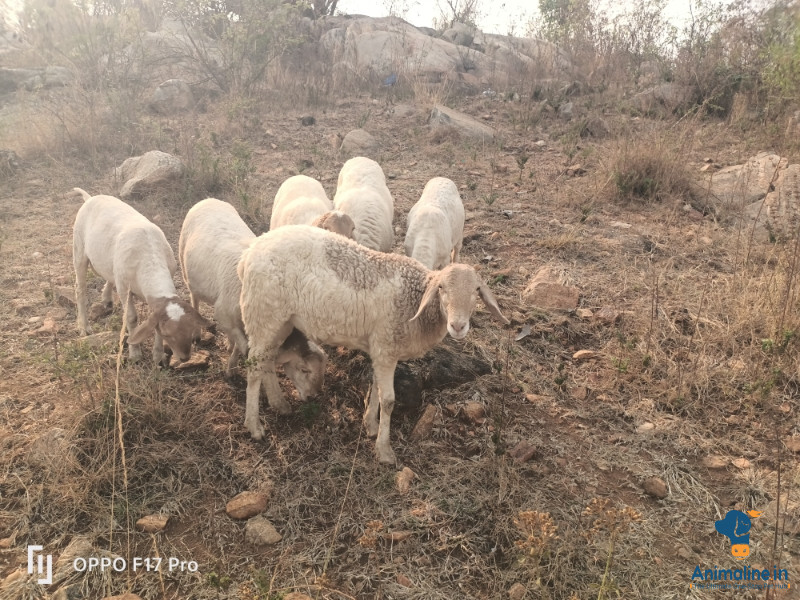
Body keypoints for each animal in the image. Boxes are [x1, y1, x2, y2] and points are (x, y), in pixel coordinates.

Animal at [71, 188, 210, 364]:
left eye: (191, 329)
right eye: (168, 334)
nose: (185, 358)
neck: (149, 258)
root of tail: (90, 198)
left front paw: (158, 356)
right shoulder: (124, 289)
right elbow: (131, 318)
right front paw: (135, 353)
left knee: (109, 275)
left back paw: (106, 299)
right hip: (79, 249)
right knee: (80, 289)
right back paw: (84, 327)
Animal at [178, 198, 327, 393]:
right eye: (304, 369)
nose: (314, 395)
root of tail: (208, 199)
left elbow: (239, 345)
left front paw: (232, 360)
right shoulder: (224, 314)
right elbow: (242, 347)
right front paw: (232, 369)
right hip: (184, 267)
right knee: (193, 298)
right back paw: (197, 333)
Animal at [238, 225, 509, 463]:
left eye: (476, 290)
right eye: (441, 288)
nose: (458, 326)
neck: (415, 301)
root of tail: (250, 252)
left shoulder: (381, 349)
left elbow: (376, 387)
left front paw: (370, 425)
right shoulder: (386, 347)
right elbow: (388, 400)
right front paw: (384, 450)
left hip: (280, 322)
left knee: (267, 362)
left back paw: (279, 404)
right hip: (263, 315)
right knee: (253, 369)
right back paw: (254, 426)